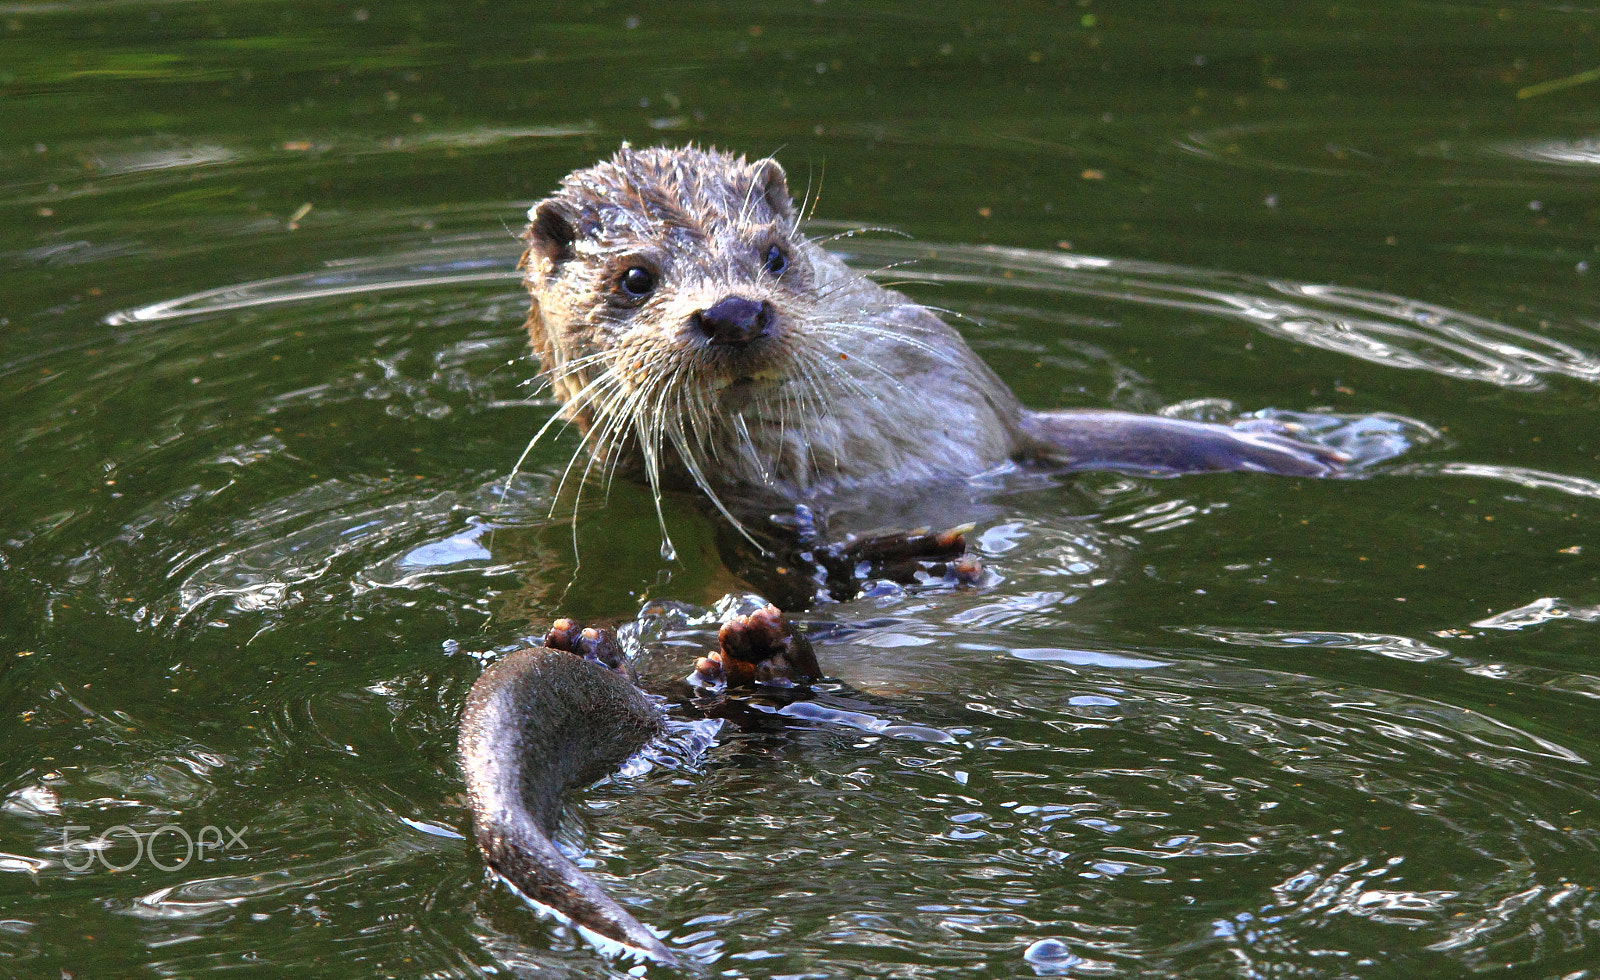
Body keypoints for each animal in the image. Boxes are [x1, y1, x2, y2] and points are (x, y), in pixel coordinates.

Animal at [461, 145, 1349, 964]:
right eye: (636, 277)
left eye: (773, 255)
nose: (734, 312)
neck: (840, 466)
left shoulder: (999, 424)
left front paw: (1303, 452)